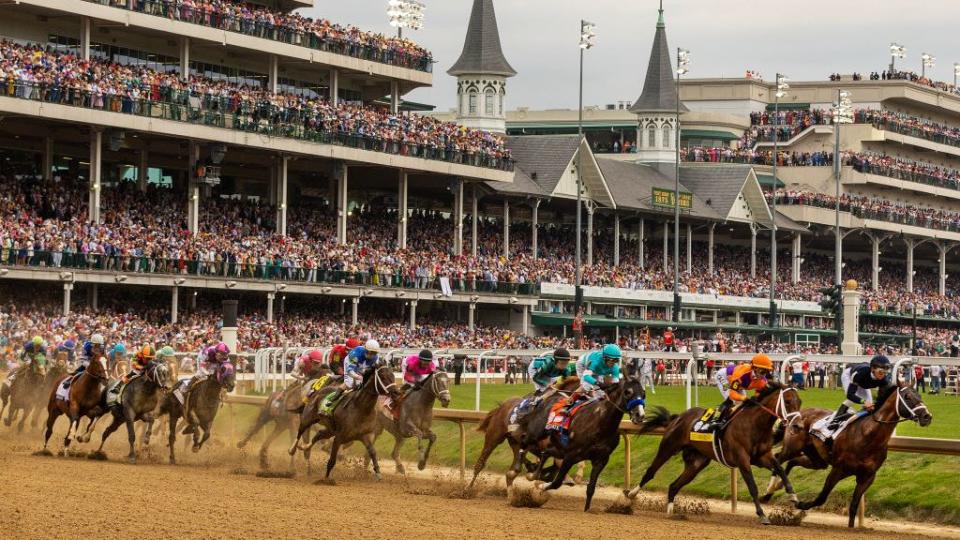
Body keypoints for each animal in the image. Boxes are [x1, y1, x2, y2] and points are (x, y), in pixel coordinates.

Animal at [536, 376, 648, 510]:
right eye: (628, 392)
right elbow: (557, 482)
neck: (600, 423)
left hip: (559, 447)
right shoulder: (570, 455)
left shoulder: (600, 460)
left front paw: (586, 509)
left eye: (643, 393)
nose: (640, 415)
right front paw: (541, 487)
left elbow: (591, 488)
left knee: (546, 453)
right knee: (541, 453)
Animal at [624, 380, 804, 524]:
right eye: (787, 401)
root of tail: (678, 417)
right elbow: (752, 486)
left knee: (674, 485)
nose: (798, 426)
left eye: (800, 402)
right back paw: (631, 495)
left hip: (697, 463)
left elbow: (780, 469)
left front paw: (793, 496)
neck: (754, 424)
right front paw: (762, 515)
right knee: (650, 472)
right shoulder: (742, 459)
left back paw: (670, 512)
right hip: (668, 447)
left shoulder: (762, 457)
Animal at [764, 384, 928, 528]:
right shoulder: (838, 469)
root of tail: (797, 414)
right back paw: (768, 493)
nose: (927, 416)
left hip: (818, 460)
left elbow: (854, 505)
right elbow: (822, 497)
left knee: (792, 462)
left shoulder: (867, 477)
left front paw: (851, 527)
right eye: (908, 397)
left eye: (920, 395)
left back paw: (780, 486)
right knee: (778, 458)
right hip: (792, 448)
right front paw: (800, 504)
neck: (868, 435)